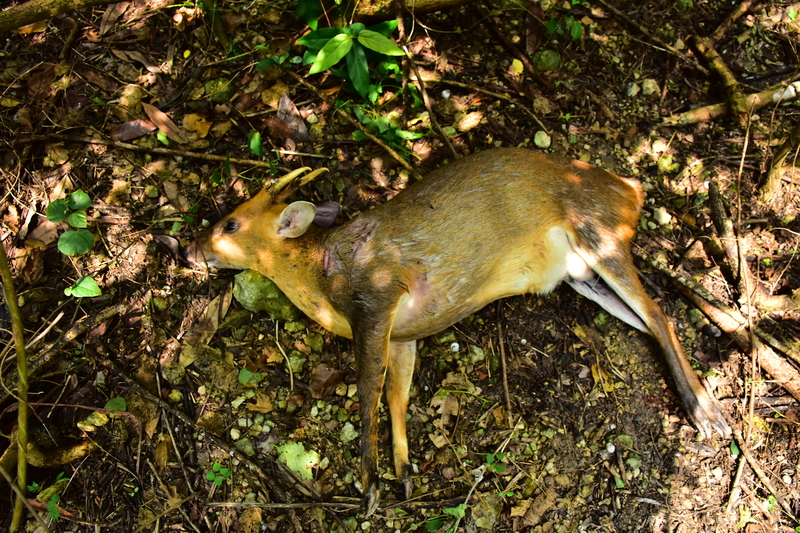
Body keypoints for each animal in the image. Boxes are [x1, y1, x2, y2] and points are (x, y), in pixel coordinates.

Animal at [186, 148, 732, 512]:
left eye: (230, 224)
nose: (190, 248)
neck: (322, 275)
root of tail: (630, 190)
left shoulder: (377, 296)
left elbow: (367, 392)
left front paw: (369, 485)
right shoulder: (403, 333)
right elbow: (397, 394)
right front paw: (404, 473)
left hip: (599, 231)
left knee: (659, 312)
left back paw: (709, 416)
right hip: (579, 273)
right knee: (646, 321)